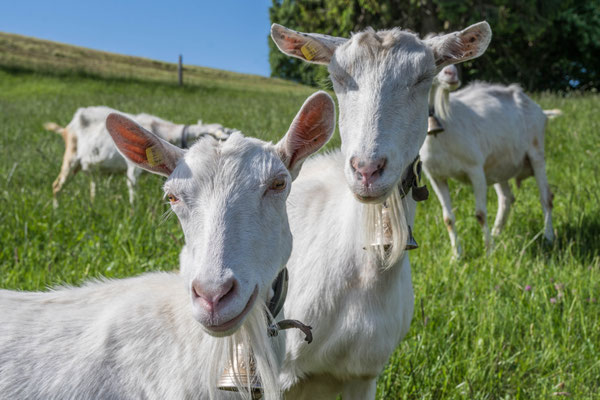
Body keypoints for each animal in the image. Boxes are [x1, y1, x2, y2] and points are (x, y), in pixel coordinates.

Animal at [44, 106, 237, 206]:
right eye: (222, 137)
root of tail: (67, 128)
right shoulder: (132, 170)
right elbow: (133, 194)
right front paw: (132, 214)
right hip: (70, 159)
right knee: (56, 186)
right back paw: (56, 209)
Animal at [420, 63, 556, 255]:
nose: (451, 73)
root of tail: (539, 109)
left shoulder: (475, 169)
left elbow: (480, 214)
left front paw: (489, 252)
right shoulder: (436, 177)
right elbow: (448, 218)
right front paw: (457, 255)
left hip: (536, 152)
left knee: (546, 198)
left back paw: (548, 238)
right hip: (499, 166)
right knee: (506, 199)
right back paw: (497, 234)